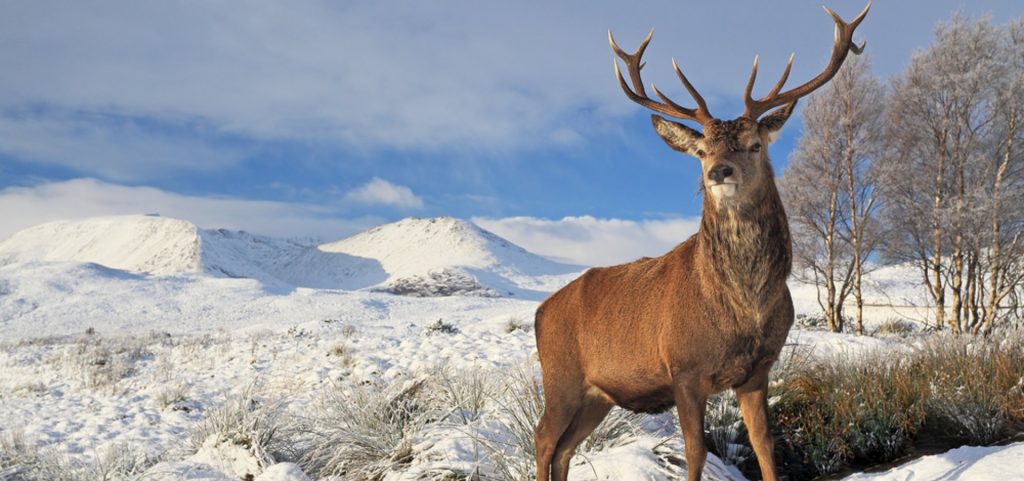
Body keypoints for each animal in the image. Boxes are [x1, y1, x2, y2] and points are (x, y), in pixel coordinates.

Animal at [533, 4, 869, 481]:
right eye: (701, 151)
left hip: (597, 395)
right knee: (543, 439)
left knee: (564, 449)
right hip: (560, 378)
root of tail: (540, 312)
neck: (743, 308)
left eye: (754, 144)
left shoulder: (758, 371)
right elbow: (695, 452)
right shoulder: (684, 369)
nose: (718, 172)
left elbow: (765, 446)